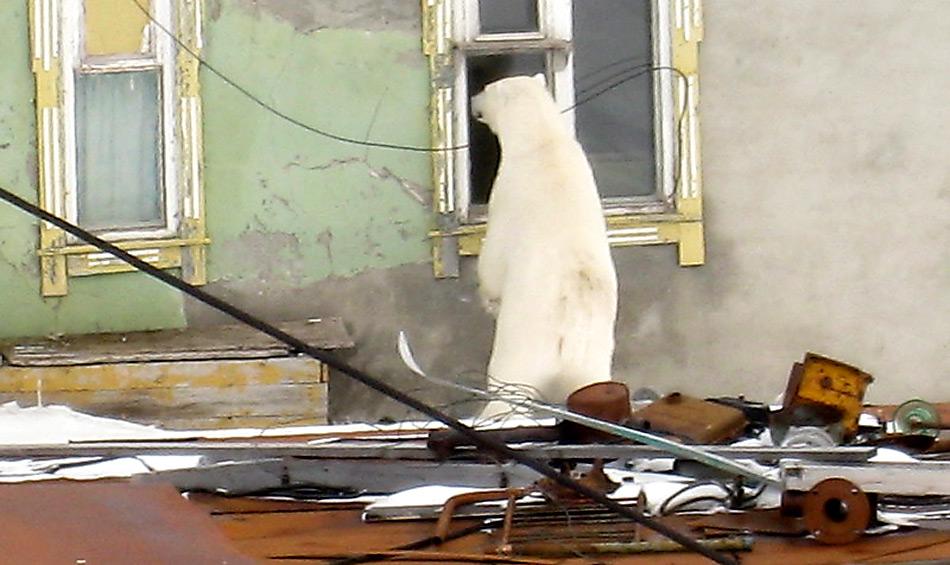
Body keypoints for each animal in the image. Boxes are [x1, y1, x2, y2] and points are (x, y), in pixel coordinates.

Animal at [472, 75, 620, 416]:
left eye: (485, 89)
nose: (472, 101)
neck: (543, 142)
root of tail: (571, 339)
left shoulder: (508, 194)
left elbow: (493, 262)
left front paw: (487, 298)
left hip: (523, 346)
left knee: (508, 386)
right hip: (593, 362)